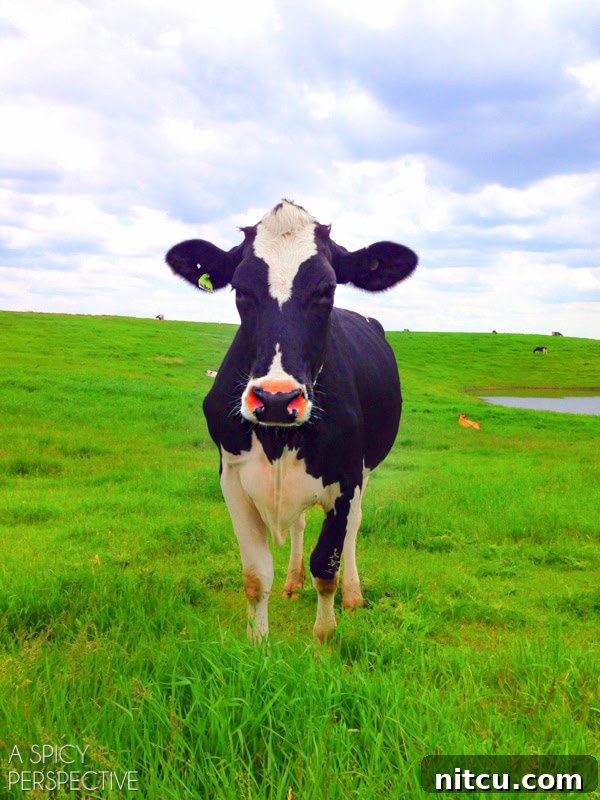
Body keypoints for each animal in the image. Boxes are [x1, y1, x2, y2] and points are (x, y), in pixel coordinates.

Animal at [166, 200, 418, 642]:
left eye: (327, 290)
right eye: (241, 289)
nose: (276, 399)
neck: (278, 438)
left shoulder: (347, 478)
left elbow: (326, 568)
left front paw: (324, 642)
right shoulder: (233, 480)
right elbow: (255, 575)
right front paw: (258, 645)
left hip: (367, 470)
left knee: (354, 526)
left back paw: (353, 594)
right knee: (299, 523)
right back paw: (292, 581)